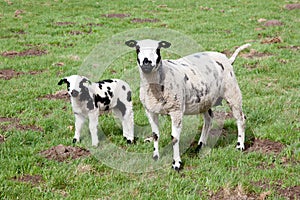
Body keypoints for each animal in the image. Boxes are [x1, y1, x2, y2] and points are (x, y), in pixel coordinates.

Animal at [125, 39, 250, 170]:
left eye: (158, 49)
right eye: (137, 48)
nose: (147, 63)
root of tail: (227, 59)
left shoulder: (176, 110)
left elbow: (174, 138)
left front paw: (176, 163)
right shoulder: (150, 110)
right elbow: (155, 135)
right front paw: (155, 156)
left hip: (232, 91)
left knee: (241, 118)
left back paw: (240, 146)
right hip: (205, 100)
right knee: (209, 119)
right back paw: (200, 145)